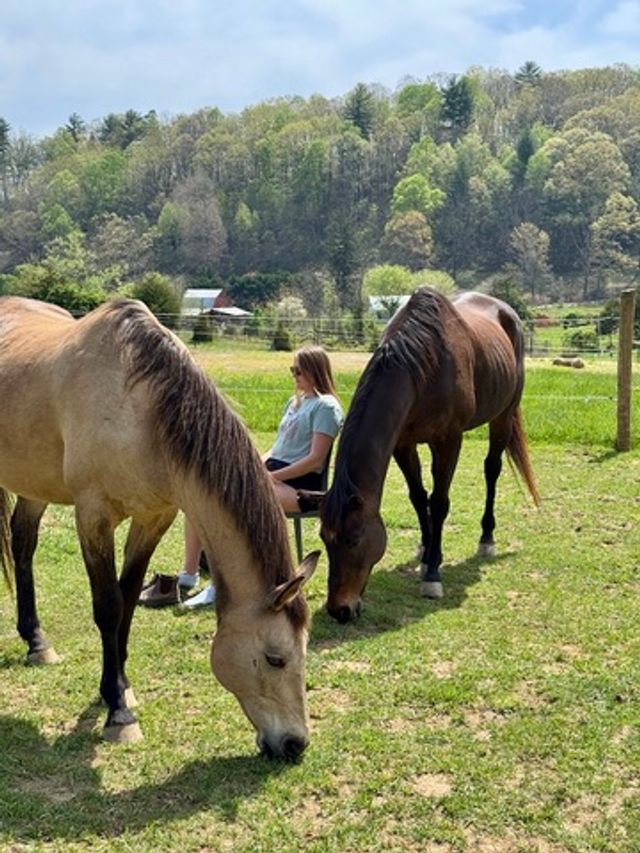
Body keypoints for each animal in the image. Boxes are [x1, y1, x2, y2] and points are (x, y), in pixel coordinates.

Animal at [0, 296, 319, 759]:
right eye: (275, 658)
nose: (296, 743)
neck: (139, 410)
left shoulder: (155, 517)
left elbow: (129, 598)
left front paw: (120, 688)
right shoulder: (93, 515)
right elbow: (109, 606)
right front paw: (119, 715)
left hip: (35, 485)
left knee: (23, 547)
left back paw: (37, 643)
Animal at [320, 286, 539, 623]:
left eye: (354, 538)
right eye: (324, 539)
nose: (339, 610)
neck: (421, 368)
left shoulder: (448, 441)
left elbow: (438, 502)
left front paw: (433, 574)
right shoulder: (403, 444)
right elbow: (417, 496)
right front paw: (426, 550)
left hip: (503, 416)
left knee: (492, 470)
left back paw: (486, 538)